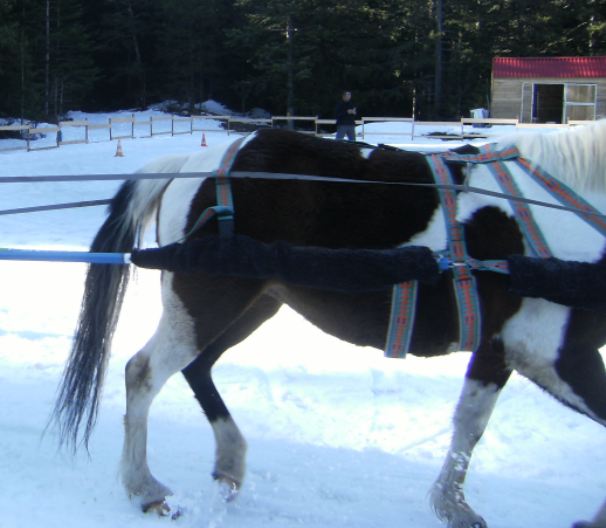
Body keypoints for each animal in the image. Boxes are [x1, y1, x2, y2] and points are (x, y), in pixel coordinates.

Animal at [52, 122, 606, 528]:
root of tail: (190, 167)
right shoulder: (554, 352)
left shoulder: (500, 348)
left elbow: (469, 424)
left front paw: (453, 505)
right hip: (208, 300)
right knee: (144, 372)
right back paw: (144, 488)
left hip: (252, 304)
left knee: (198, 368)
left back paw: (229, 463)